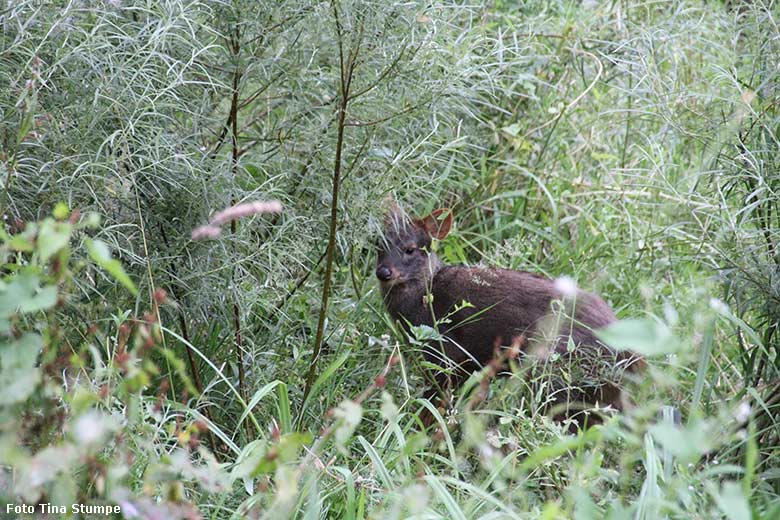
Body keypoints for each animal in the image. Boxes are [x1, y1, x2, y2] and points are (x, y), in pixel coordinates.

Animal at [374, 206, 644, 426]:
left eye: (410, 249)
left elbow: (432, 408)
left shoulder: (446, 355)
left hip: (559, 377)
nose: (384, 272)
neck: (424, 300)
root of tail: (633, 359)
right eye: (378, 244)